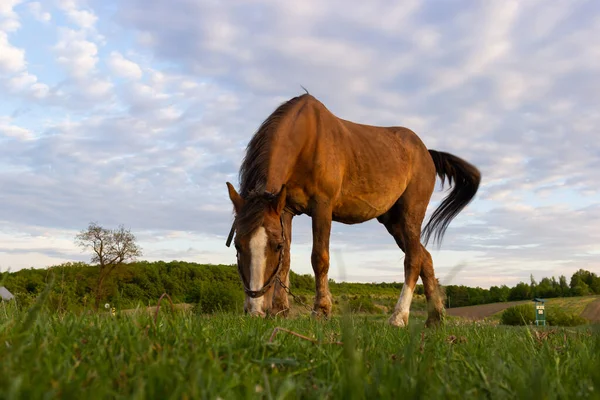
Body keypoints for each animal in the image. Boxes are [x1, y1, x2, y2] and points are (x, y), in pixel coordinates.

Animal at [223, 92, 480, 326]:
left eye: (274, 246)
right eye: (237, 244)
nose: (255, 310)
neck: (306, 140)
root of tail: (427, 153)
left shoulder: (322, 206)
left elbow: (319, 257)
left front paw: (321, 310)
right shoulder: (285, 210)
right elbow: (286, 261)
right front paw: (280, 311)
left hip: (410, 215)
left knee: (414, 259)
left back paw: (398, 317)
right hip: (393, 221)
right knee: (425, 258)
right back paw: (435, 318)